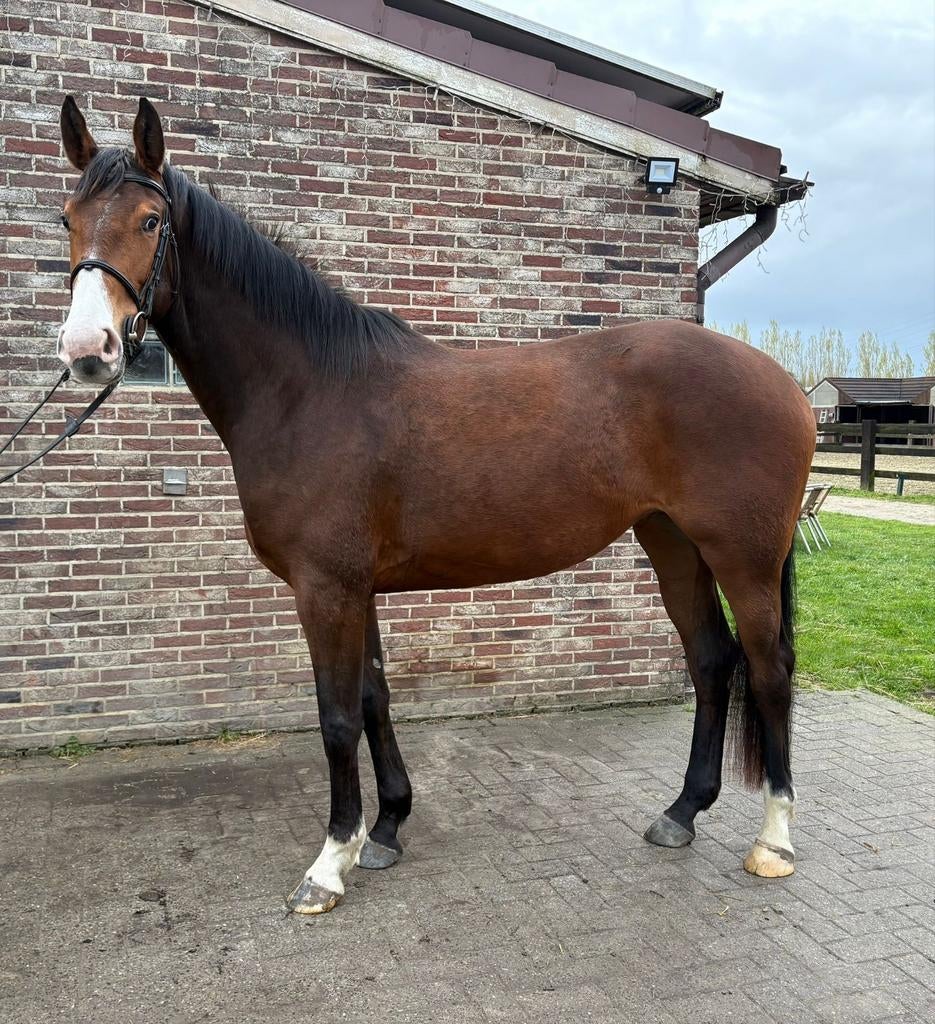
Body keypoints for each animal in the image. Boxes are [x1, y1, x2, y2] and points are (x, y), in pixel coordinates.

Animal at [55, 96, 816, 915]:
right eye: (67, 217)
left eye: (149, 222)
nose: (88, 349)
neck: (309, 388)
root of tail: (783, 383)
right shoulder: (356, 588)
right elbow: (373, 700)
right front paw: (385, 828)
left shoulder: (325, 589)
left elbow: (335, 718)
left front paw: (329, 863)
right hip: (672, 542)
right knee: (710, 660)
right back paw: (680, 813)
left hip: (743, 556)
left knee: (768, 668)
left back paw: (773, 840)